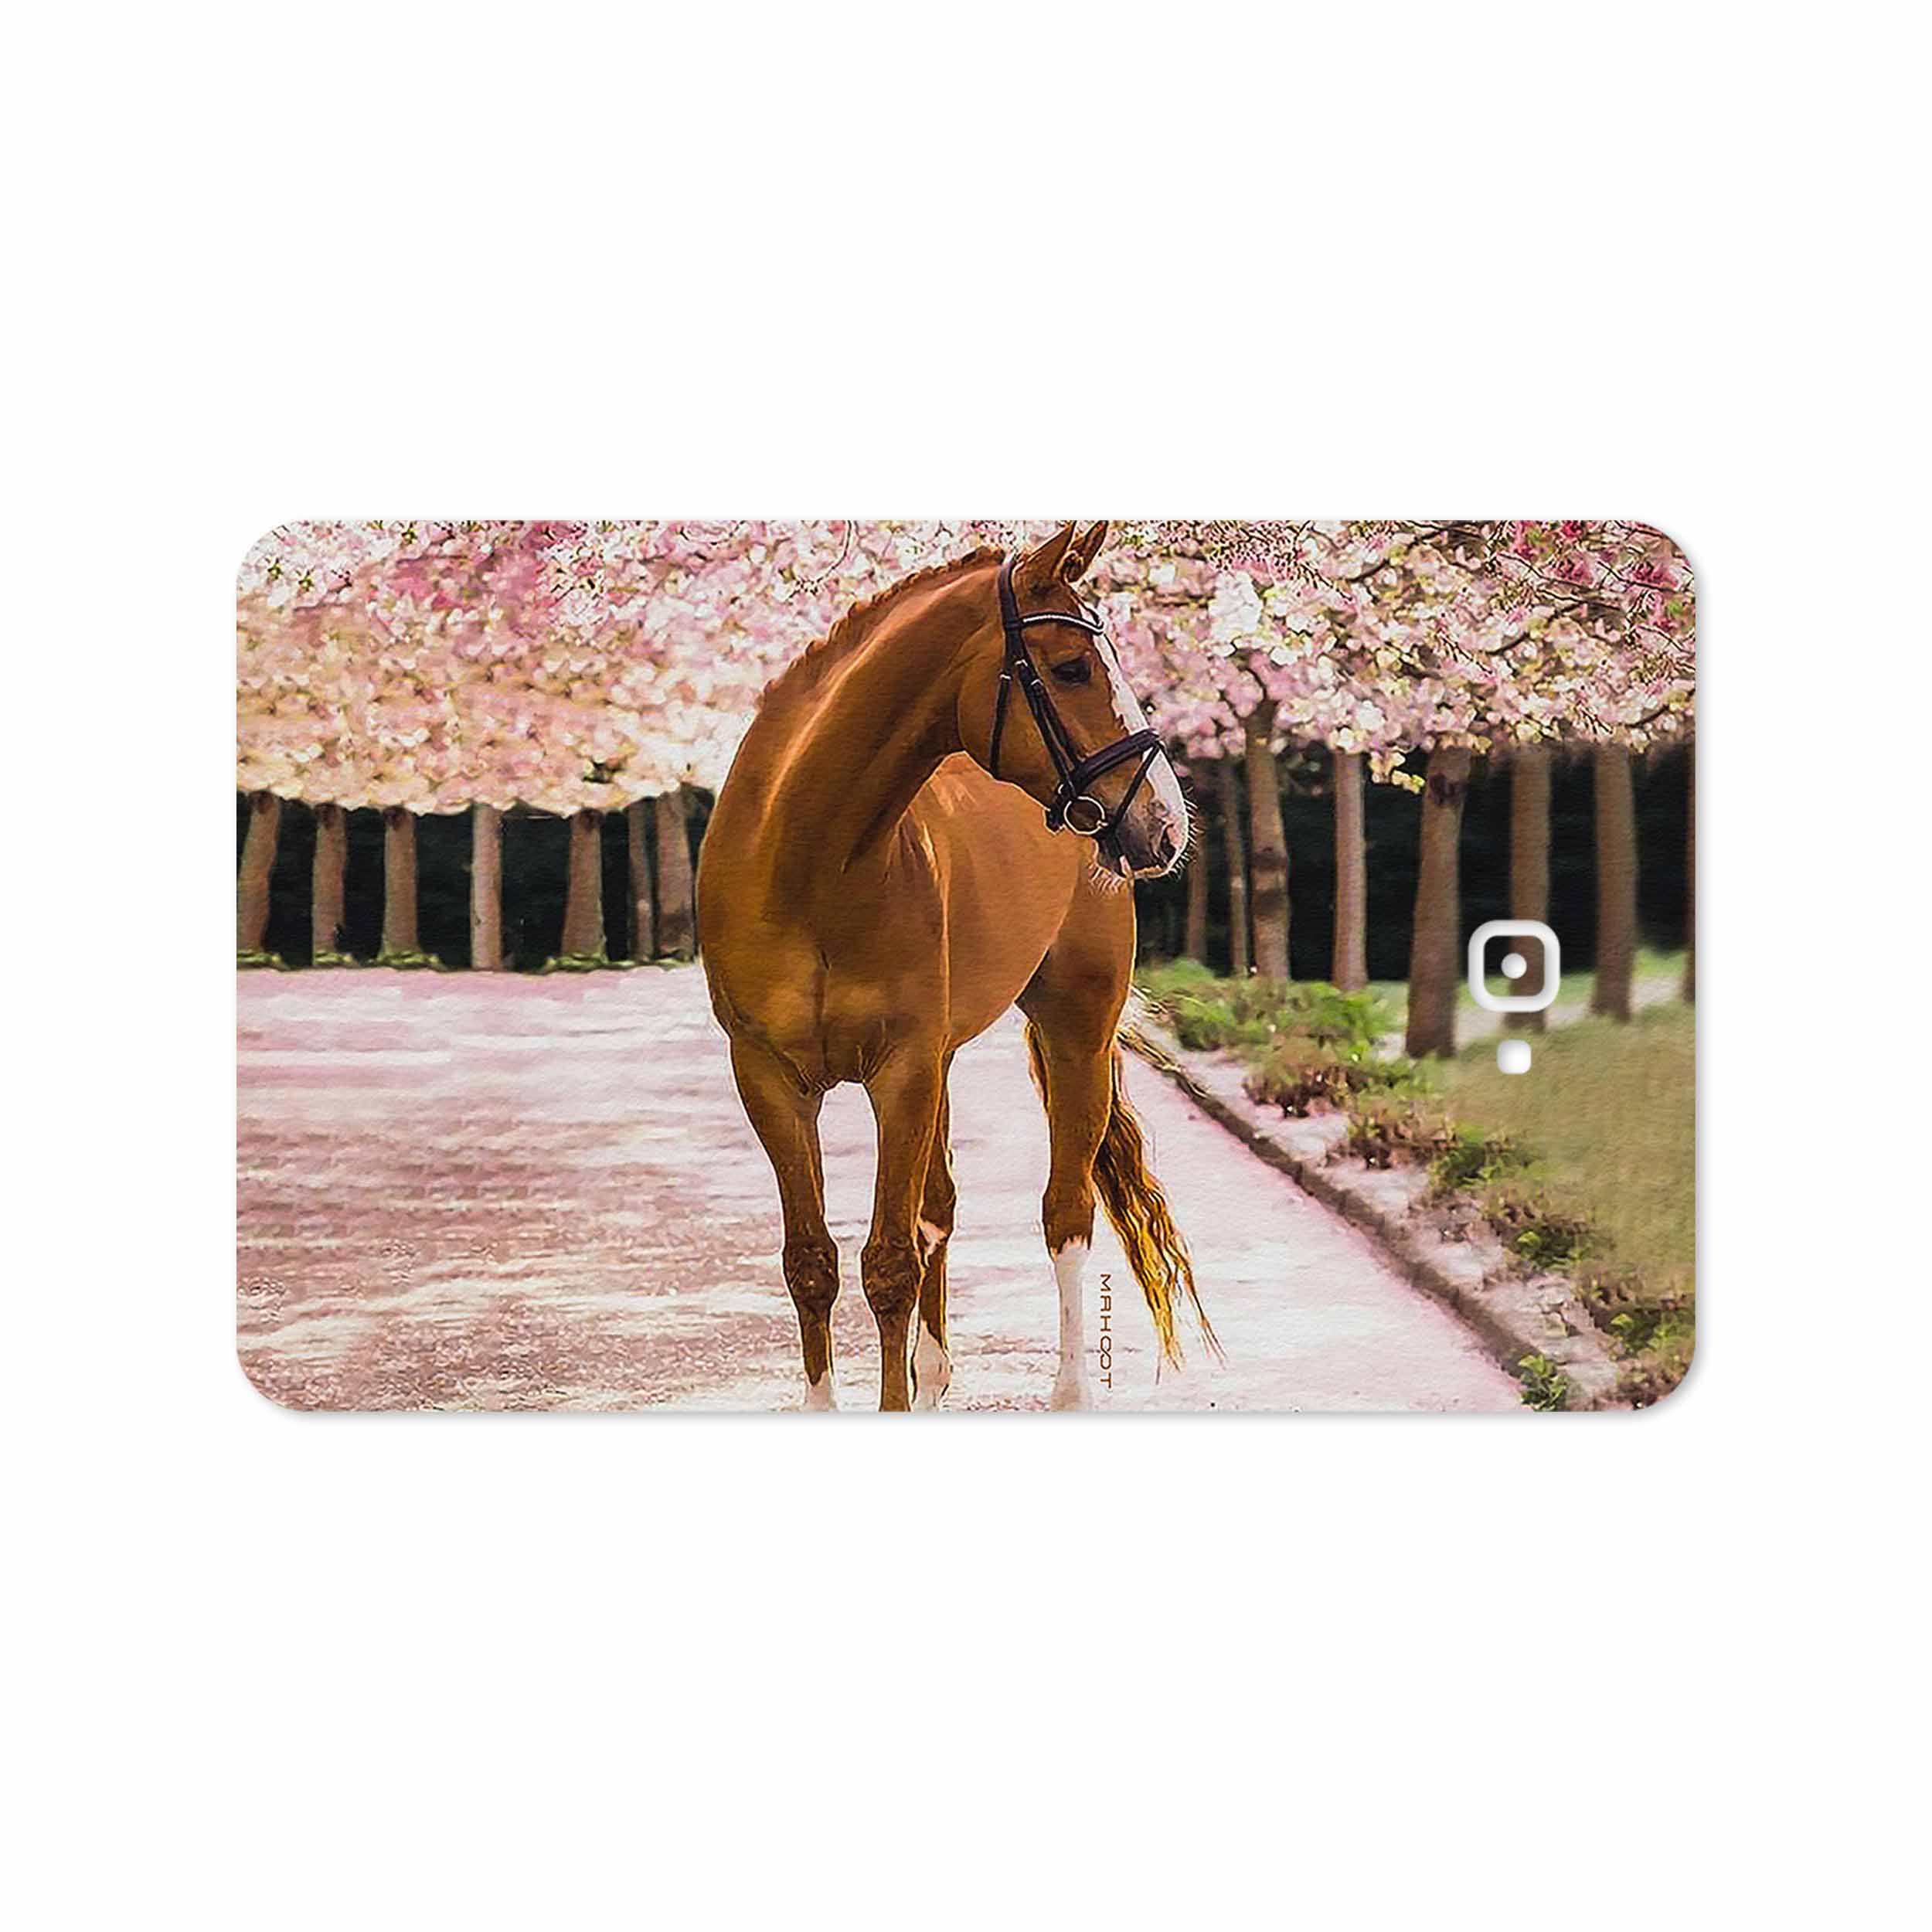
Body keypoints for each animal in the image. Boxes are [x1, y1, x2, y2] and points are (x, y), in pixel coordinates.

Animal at [697, 521, 1215, 1410]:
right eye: (1071, 667)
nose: (1164, 824)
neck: (808, 864)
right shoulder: (768, 1078)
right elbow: (812, 1263)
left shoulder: (901, 1072)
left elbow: (889, 1264)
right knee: (939, 1207)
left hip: (1075, 1032)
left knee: (1065, 1213)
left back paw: (1069, 1391)